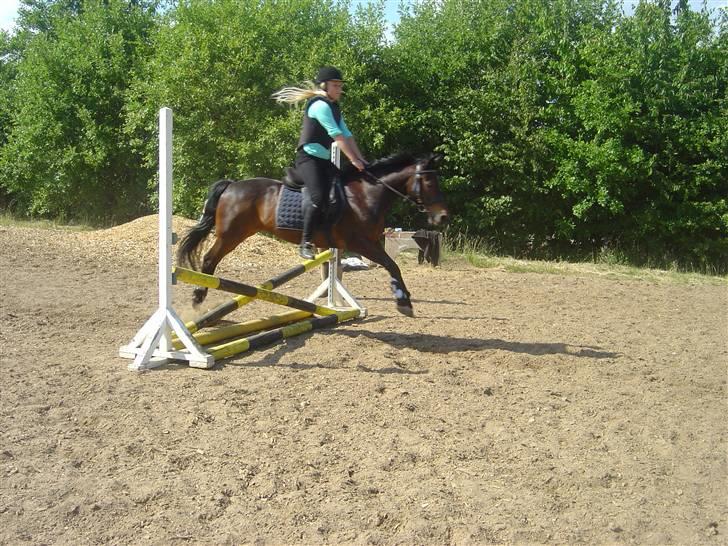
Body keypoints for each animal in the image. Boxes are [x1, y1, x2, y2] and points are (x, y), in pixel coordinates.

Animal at [178, 152, 450, 314]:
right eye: (429, 182)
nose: (443, 217)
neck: (366, 195)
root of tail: (232, 185)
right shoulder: (361, 243)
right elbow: (392, 265)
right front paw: (403, 301)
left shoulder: (370, 242)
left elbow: (392, 265)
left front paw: (403, 296)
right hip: (231, 235)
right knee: (209, 259)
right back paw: (197, 298)